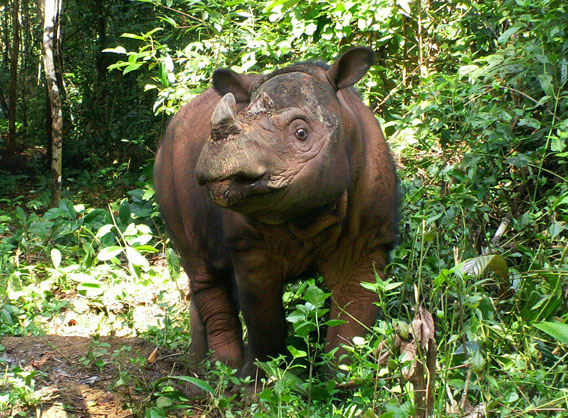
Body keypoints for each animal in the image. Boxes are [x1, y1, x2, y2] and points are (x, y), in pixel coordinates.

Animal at [153, 47, 398, 378]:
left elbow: (353, 318)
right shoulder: (250, 246)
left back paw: (200, 371)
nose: (219, 159)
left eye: (301, 133)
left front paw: (344, 381)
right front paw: (257, 382)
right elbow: (263, 318)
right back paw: (221, 372)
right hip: (165, 166)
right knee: (202, 270)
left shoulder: (368, 241)